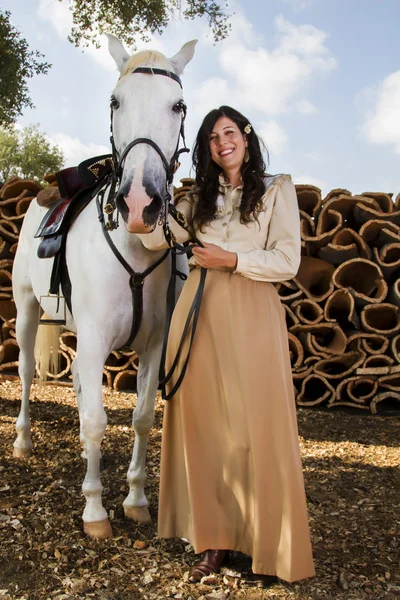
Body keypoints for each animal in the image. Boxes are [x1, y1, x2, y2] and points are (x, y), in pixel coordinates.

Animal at [10, 32, 195, 540]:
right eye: (116, 100)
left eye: (178, 105)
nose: (140, 203)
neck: (134, 246)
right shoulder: (94, 340)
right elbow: (95, 421)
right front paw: (94, 510)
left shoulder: (153, 346)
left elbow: (141, 419)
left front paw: (136, 500)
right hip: (27, 310)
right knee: (28, 373)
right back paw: (23, 441)